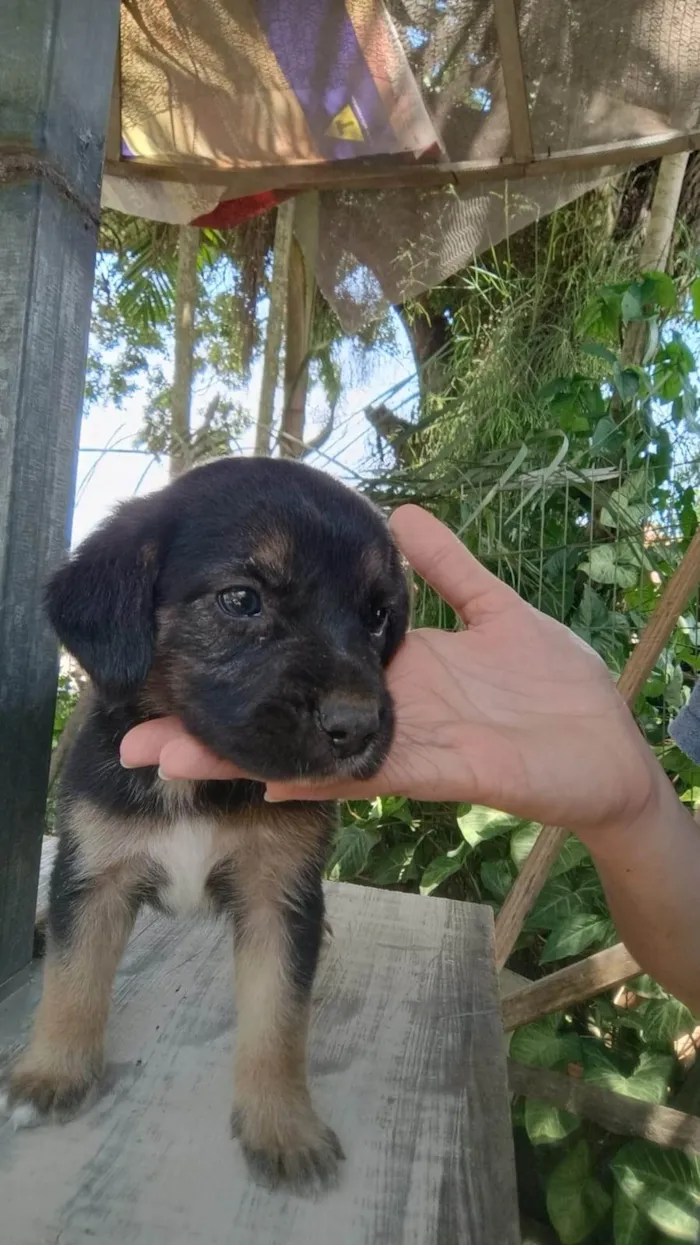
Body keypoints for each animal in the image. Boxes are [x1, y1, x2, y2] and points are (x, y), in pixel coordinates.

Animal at [0, 460, 406, 1195]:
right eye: (241, 600)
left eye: (378, 614)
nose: (358, 728)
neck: (201, 785)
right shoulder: (94, 875)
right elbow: (73, 982)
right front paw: (51, 1072)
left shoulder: (280, 899)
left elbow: (277, 1022)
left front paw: (282, 1125)